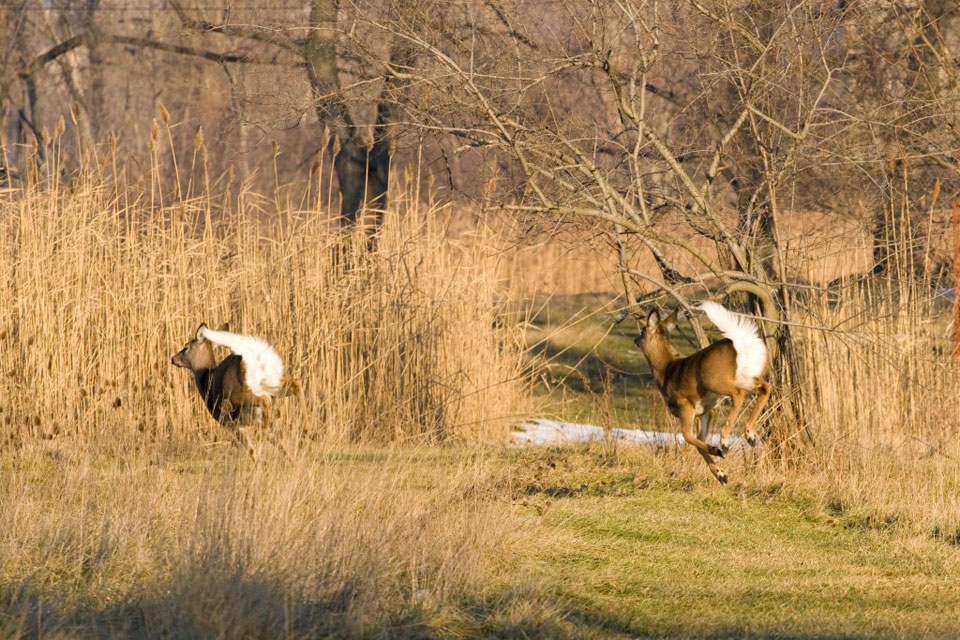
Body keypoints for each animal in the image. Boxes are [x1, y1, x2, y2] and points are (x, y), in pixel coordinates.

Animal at [172, 324, 308, 456]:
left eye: (185, 348)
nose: (173, 359)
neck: (206, 379)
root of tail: (254, 353)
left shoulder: (228, 422)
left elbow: (251, 450)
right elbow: (283, 448)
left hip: (240, 394)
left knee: (265, 400)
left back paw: (262, 437)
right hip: (274, 382)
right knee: (296, 383)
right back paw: (307, 429)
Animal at [632, 302, 776, 482]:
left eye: (643, 331)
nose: (635, 340)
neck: (665, 371)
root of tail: (741, 342)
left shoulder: (685, 404)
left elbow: (687, 436)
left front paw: (717, 450)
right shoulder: (705, 411)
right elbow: (698, 442)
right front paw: (721, 474)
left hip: (716, 380)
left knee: (739, 394)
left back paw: (725, 440)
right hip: (748, 376)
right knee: (765, 388)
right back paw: (750, 435)